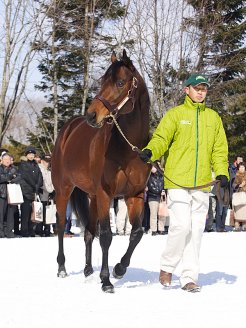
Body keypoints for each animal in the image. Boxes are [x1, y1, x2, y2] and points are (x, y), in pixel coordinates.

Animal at [52, 50, 150, 294]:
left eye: (120, 82)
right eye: (102, 81)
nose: (91, 115)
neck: (128, 148)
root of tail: (68, 129)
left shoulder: (134, 195)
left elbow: (136, 233)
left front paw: (119, 269)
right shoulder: (107, 194)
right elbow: (106, 235)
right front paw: (106, 280)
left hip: (93, 196)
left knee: (88, 231)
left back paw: (88, 270)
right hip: (64, 190)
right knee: (61, 224)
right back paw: (62, 268)